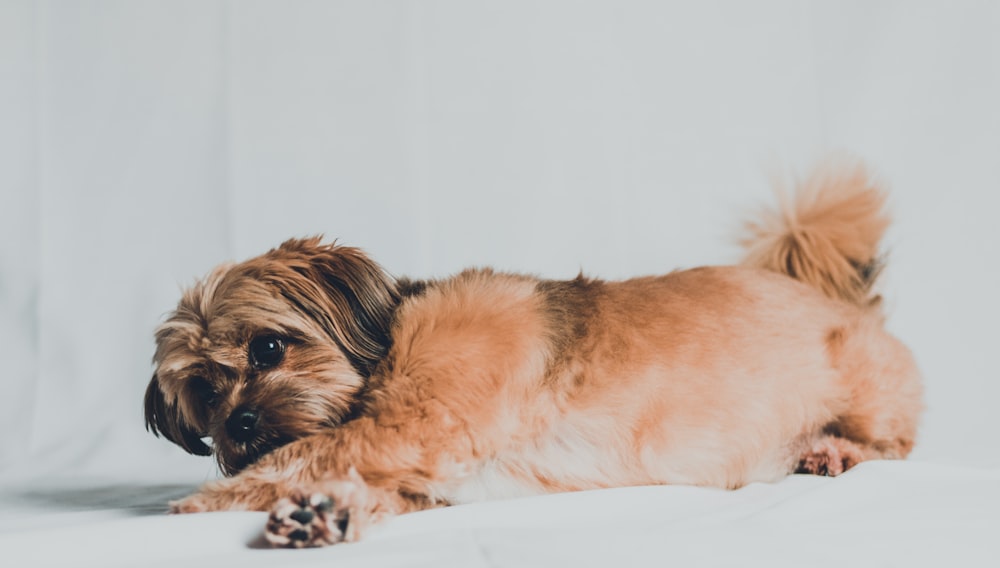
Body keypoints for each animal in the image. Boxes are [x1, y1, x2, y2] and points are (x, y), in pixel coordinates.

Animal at [146, 160, 920, 544]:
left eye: (268, 347)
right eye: (204, 393)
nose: (239, 425)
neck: (391, 341)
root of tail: (840, 300)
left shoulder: (414, 427)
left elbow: (303, 452)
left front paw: (206, 500)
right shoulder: (422, 470)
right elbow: (349, 478)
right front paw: (323, 514)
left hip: (868, 391)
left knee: (895, 446)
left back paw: (831, 451)